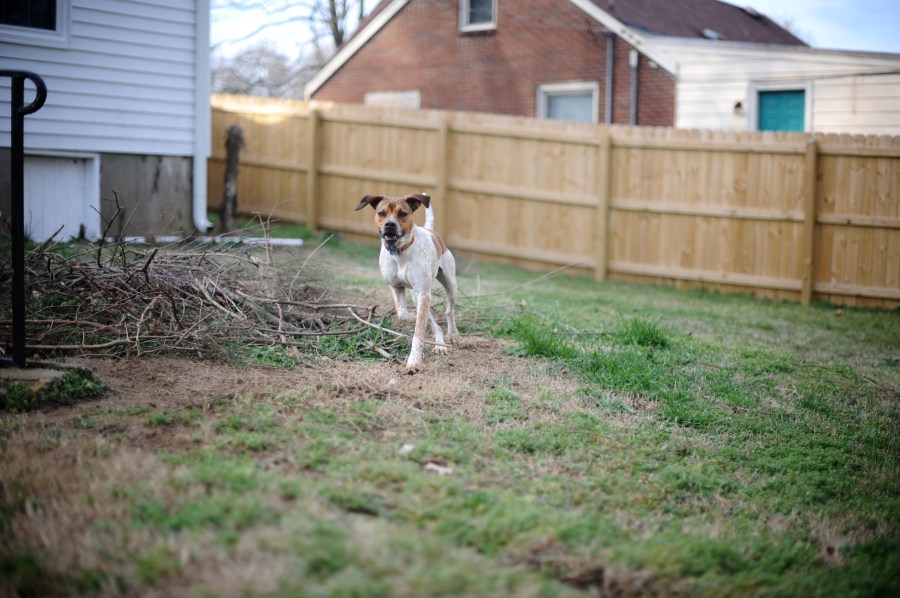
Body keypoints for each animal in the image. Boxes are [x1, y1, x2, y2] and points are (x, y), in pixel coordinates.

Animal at [354, 192, 459, 373]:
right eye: (381, 213)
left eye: (402, 213)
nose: (390, 224)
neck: (399, 252)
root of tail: (430, 230)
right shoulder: (397, 288)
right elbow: (403, 315)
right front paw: (414, 317)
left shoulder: (423, 292)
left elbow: (419, 332)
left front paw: (414, 361)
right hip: (415, 294)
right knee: (431, 318)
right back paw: (439, 342)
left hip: (450, 285)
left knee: (449, 311)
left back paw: (452, 335)